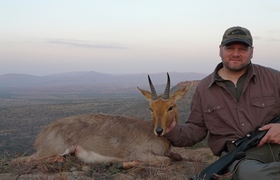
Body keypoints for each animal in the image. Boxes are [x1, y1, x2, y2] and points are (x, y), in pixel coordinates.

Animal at [14, 73, 192, 169]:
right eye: (151, 108)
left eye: (170, 107)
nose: (159, 130)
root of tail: (43, 133)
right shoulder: (138, 153)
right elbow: (166, 161)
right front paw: (124, 164)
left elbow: (176, 156)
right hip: (56, 149)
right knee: (26, 160)